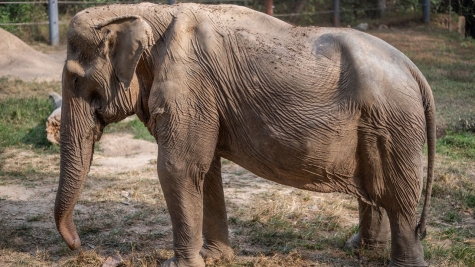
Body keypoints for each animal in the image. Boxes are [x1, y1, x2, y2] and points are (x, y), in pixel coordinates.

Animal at [54, 2, 436, 267]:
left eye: (74, 79)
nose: (80, 246)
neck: (146, 12)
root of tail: (415, 71)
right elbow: (205, 170)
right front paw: (215, 258)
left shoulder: (190, 86)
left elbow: (178, 168)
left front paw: (179, 264)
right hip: (378, 124)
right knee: (376, 189)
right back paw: (359, 249)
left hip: (394, 124)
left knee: (398, 196)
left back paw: (400, 262)